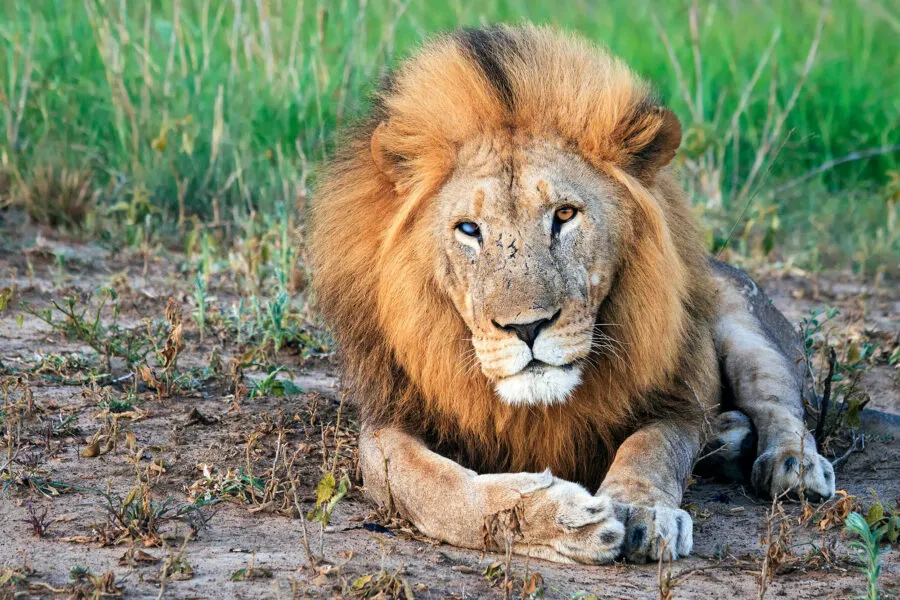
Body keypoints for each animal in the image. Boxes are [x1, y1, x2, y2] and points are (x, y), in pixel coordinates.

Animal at [310, 25, 836, 564]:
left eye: (564, 214)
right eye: (469, 229)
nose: (526, 328)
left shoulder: (680, 398)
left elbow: (651, 449)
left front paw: (642, 510)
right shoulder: (386, 420)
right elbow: (433, 487)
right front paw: (560, 517)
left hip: (740, 320)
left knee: (777, 398)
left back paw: (791, 464)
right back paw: (728, 438)